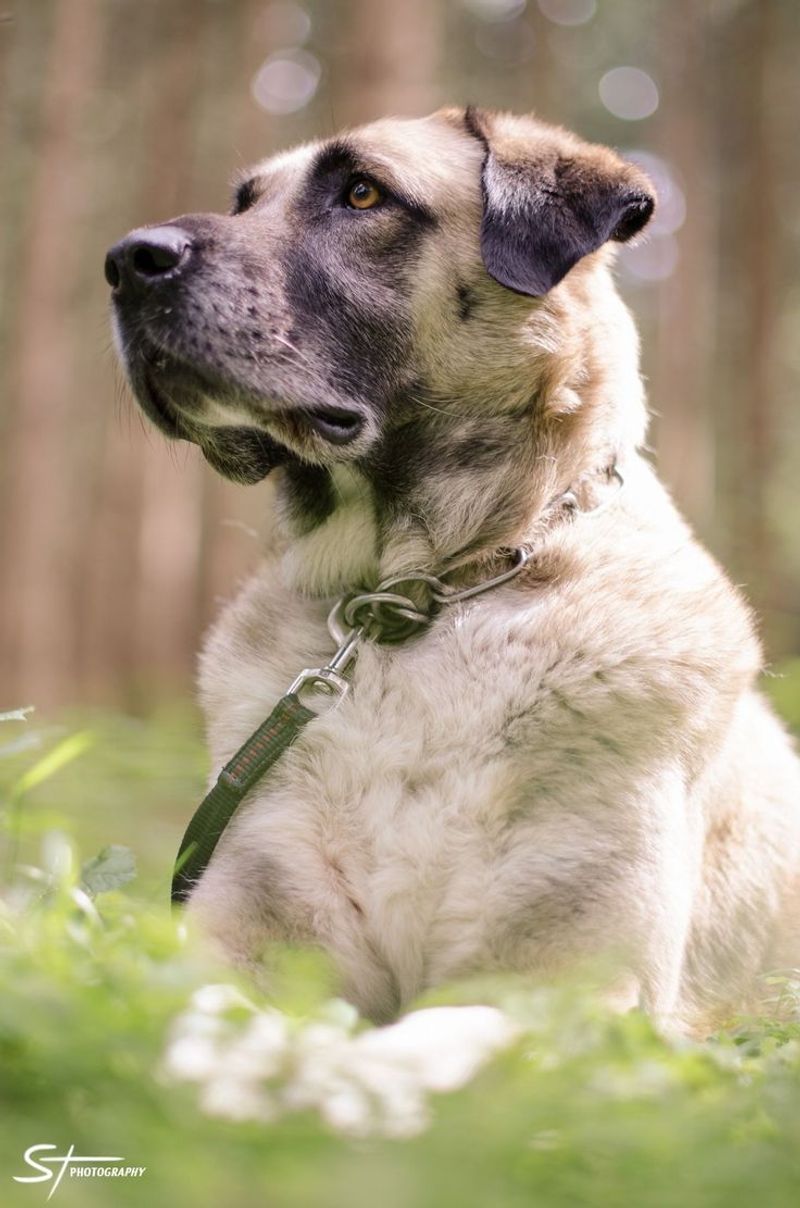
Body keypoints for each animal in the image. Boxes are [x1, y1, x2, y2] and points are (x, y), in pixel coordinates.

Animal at [106, 106, 800, 1029]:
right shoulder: (250, 931)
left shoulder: (565, 981)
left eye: (363, 193)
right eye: (245, 201)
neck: (415, 597)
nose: (125, 261)